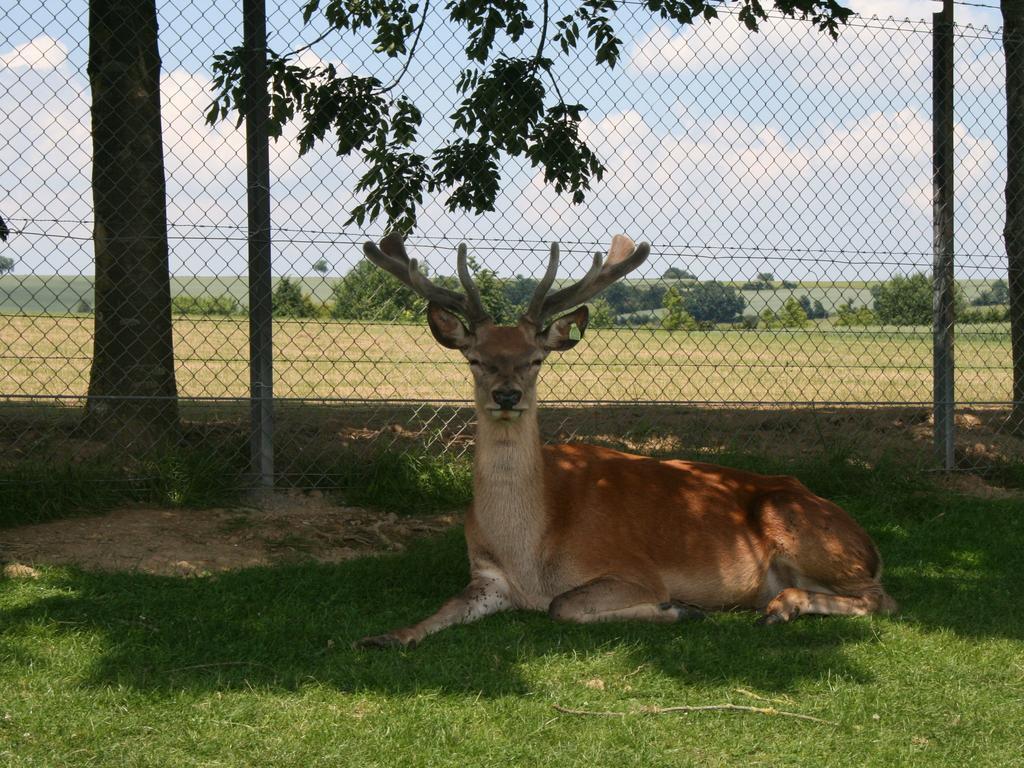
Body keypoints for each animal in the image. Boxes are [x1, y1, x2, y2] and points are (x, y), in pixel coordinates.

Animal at [354, 233, 897, 651]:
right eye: (474, 358)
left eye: (535, 359)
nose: (506, 394)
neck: (529, 555)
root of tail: (869, 544)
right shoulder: (486, 577)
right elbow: (443, 608)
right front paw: (385, 636)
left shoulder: (632, 569)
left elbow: (562, 605)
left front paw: (681, 610)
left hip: (800, 526)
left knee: (883, 598)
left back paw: (781, 608)